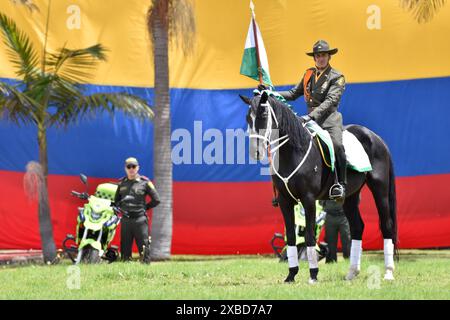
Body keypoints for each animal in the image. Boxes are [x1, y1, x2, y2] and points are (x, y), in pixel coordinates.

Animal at [239, 92, 398, 282]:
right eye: (248, 118)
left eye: (263, 115)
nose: (255, 152)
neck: (293, 151)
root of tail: (376, 138)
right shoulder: (285, 201)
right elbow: (291, 237)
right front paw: (291, 275)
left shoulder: (308, 199)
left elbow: (309, 236)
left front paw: (313, 275)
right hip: (350, 197)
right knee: (357, 227)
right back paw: (352, 273)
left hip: (380, 189)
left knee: (386, 225)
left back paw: (388, 272)